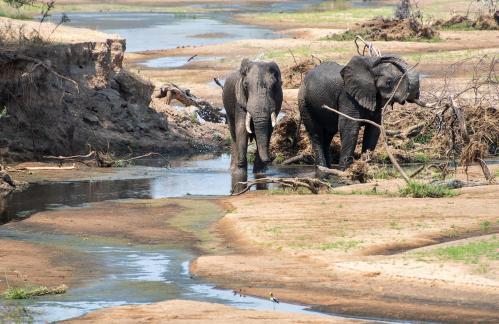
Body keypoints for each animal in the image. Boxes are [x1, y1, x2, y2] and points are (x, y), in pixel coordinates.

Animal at [224, 58, 284, 192]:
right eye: (246, 85)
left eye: (274, 86)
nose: (269, 159)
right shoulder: (240, 101)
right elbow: (241, 129)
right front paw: (240, 174)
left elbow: (268, 130)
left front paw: (260, 174)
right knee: (233, 133)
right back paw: (233, 169)